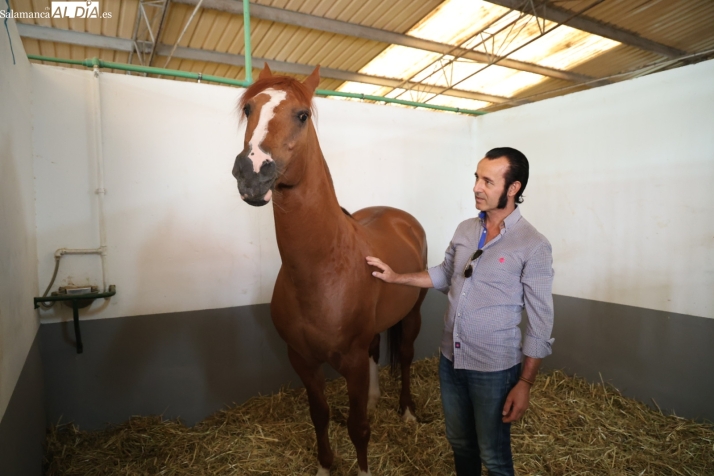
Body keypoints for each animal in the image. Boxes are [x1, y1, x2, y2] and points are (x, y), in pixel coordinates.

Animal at [231, 64, 428, 476]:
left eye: (302, 115)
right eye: (249, 109)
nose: (252, 172)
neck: (321, 270)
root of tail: (400, 218)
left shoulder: (350, 360)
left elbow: (358, 428)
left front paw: (363, 469)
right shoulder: (301, 359)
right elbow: (319, 414)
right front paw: (325, 466)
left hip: (412, 315)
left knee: (404, 355)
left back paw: (406, 411)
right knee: (376, 351)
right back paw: (374, 398)